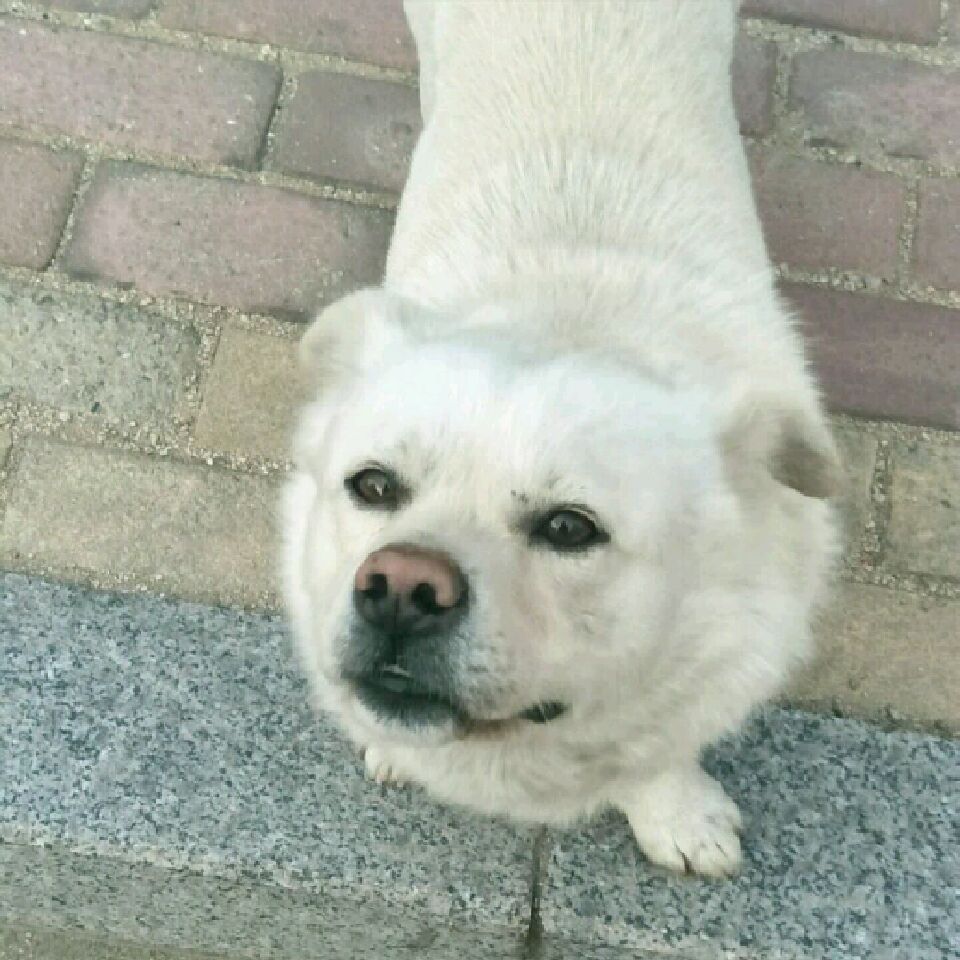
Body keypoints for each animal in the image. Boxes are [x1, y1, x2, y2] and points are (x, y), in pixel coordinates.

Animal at [284, 0, 839, 878]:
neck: (573, 307)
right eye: (373, 486)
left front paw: (676, 812)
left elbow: (659, 749)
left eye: (570, 528)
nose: (401, 586)